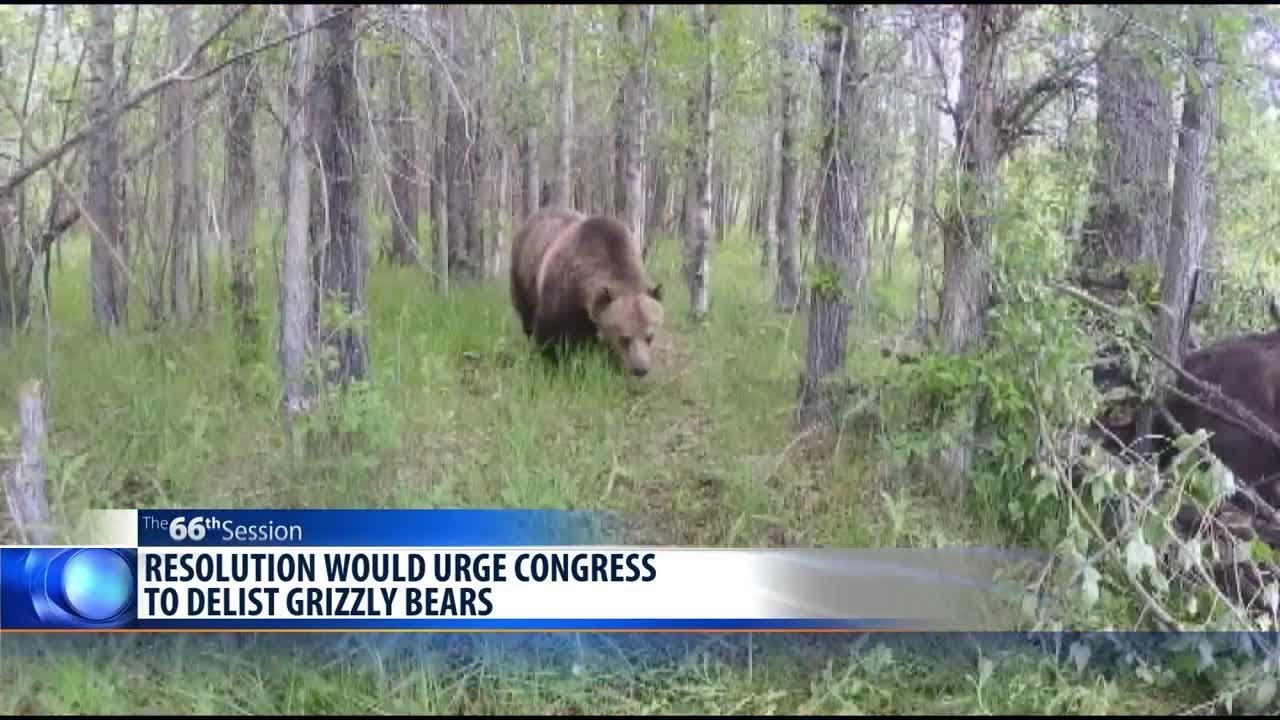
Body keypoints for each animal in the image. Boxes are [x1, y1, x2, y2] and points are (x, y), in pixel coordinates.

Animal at [509, 207, 664, 377]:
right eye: (624, 338)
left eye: (649, 337)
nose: (641, 369)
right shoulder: (561, 295)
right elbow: (549, 336)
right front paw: (551, 366)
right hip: (523, 273)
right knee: (526, 314)